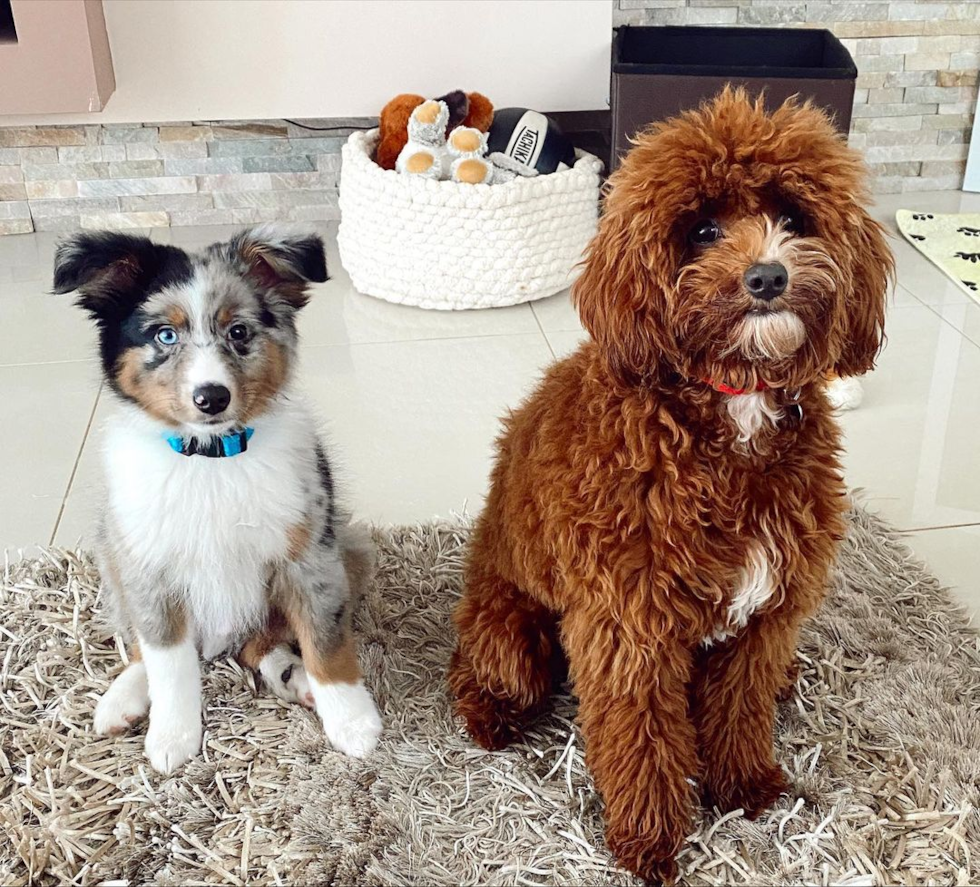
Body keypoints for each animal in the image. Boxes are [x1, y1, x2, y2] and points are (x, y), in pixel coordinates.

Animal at [448, 88, 892, 880]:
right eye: (703, 229)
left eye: (794, 218)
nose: (767, 278)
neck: (732, 407)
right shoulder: (631, 625)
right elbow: (643, 735)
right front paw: (650, 839)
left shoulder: (764, 618)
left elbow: (740, 707)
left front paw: (745, 786)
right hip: (513, 634)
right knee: (480, 673)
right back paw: (491, 716)